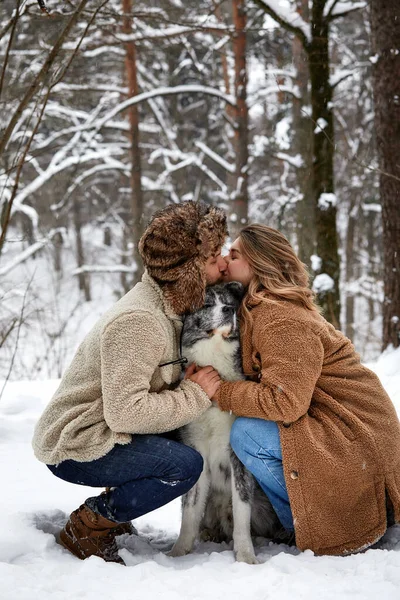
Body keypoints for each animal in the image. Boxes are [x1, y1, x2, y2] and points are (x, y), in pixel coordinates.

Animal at [170, 282, 282, 564]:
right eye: (207, 303)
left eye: (229, 302)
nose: (229, 310)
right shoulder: (197, 452)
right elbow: (190, 511)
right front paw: (178, 553)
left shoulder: (237, 460)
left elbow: (242, 511)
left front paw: (246, 556)